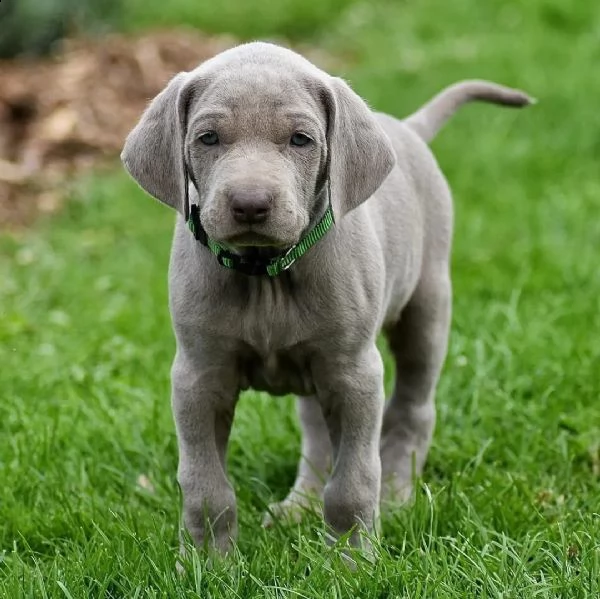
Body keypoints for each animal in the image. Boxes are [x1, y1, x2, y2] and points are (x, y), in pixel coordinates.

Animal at [120, 42, 528, 556]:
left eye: (301, 140)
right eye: (208, 138)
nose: (250, 204)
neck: (266, 273)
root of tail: (407, 128)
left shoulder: (355, 374)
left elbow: (353, 481)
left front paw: (353, 560)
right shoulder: (198, 375)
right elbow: (205, 486)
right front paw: (206, 563)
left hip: (426, 305)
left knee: (412, 408)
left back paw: (397, 494)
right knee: (316, 431)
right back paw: (301, 504)